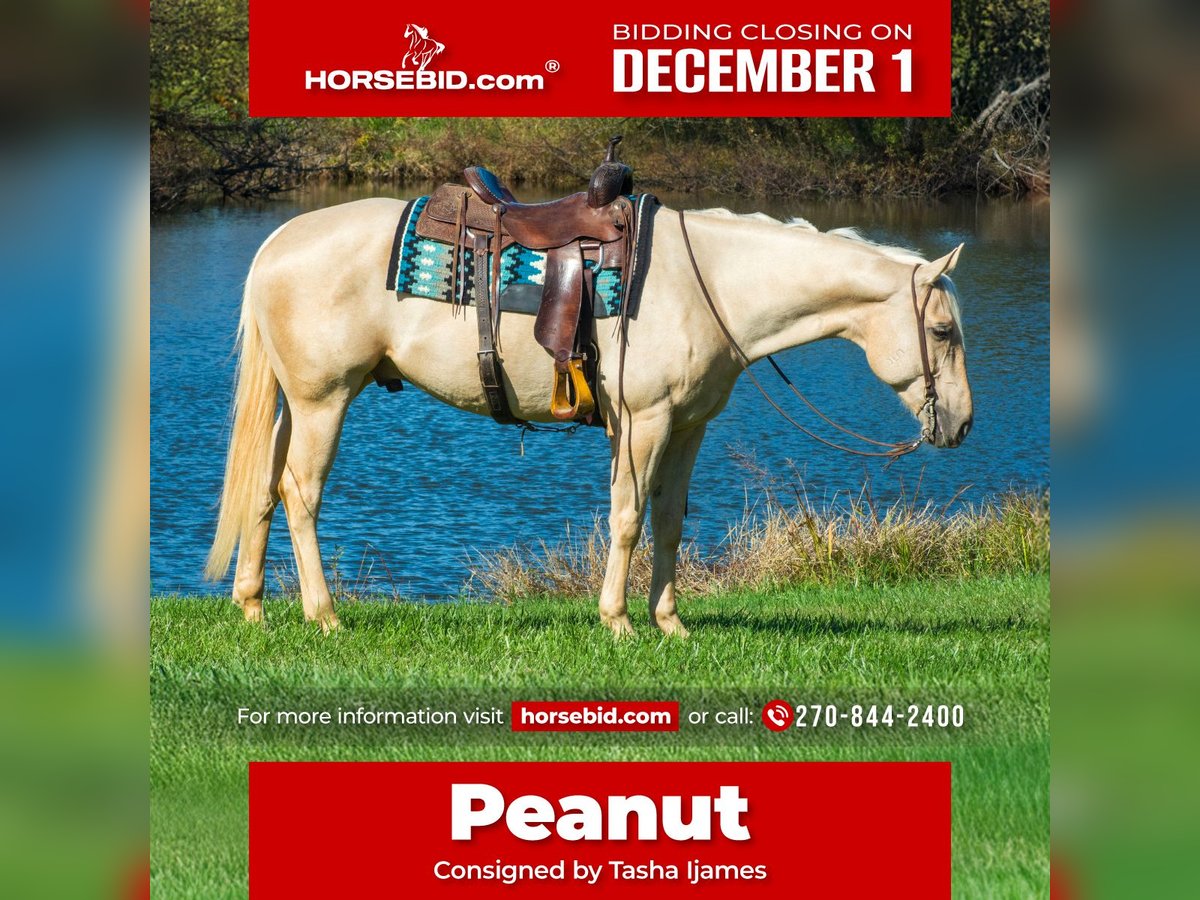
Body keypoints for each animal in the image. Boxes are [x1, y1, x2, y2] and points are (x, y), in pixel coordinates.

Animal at [204, 200, 974, 637]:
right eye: (943, 331)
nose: (963, 426)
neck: (709, 284)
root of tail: (278, 242)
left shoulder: (688, 426)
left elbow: (669, 521)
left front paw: (671, 624)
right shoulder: (643, 422)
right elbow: (627, 518)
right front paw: (619, 622)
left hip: (294, 404)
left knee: (264, 488)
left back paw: (253, 606)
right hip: (323, 401)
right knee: (301, 493)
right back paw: (323, 616)